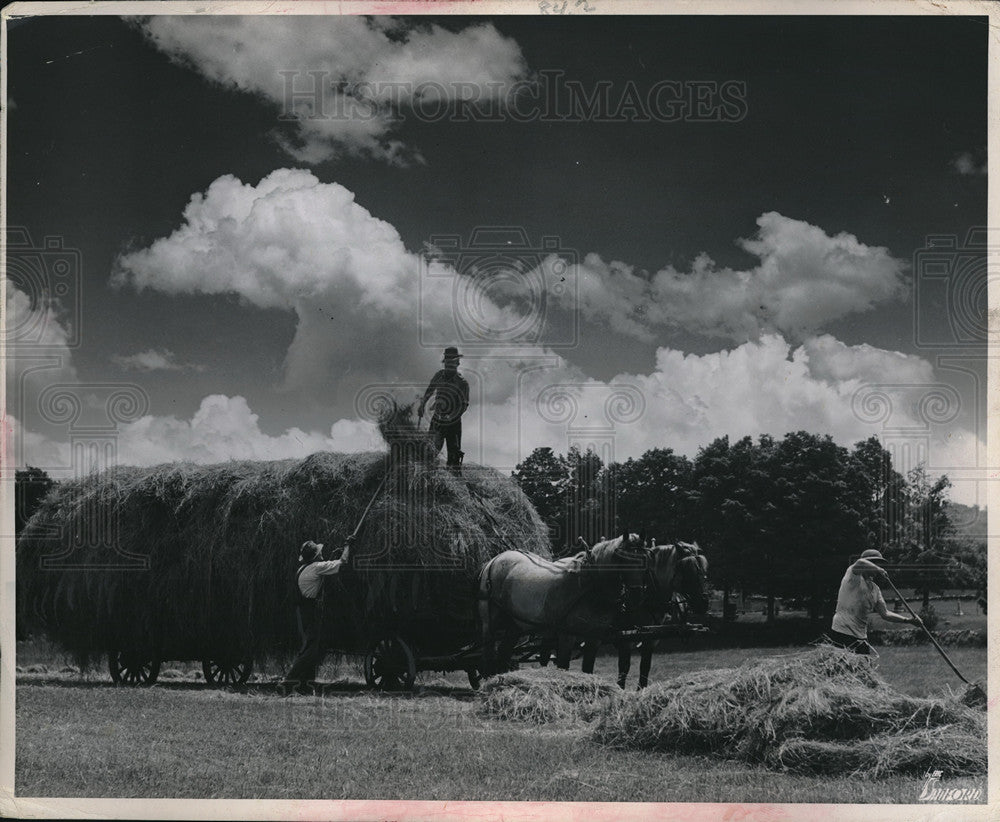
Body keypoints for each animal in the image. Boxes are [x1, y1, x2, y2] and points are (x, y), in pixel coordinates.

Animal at [478, 536, 648, 676]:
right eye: (623, 559)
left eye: (644, 559)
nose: (637, 595)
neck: (589, 582)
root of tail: (494, 560)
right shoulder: (567, 635)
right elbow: (563, 666)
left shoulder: (595, 637)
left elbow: (588, 669)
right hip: (490, 624)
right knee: (487, 655)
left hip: (515, 626)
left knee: (503, 654)